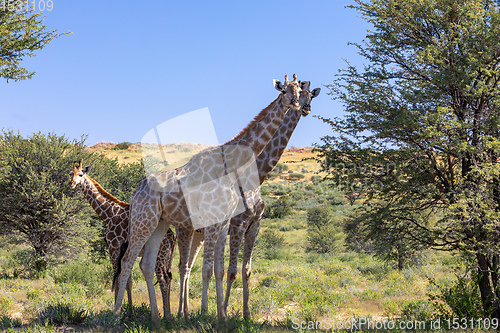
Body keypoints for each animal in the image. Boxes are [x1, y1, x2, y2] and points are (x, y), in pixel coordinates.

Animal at [69, 162, 176, 318]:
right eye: (71, 173)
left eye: (81, 174)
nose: (71, 184)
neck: (109, 214)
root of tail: (172, 237)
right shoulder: (122, 251)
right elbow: (128, 281)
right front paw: (129, 310)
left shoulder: (113, 247)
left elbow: (117, 279)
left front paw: (115, 311)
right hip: (167, 257)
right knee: (168, 278)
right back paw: (170, 314)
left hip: (159, 255)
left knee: (162, 279)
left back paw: (166, 315)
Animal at [112, 75, 302, 322]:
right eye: (284, 91)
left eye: (300, 90)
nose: (298, 104)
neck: (233, 163)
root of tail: (135, 193)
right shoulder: (216, 222)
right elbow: (207, 269)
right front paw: (204, 314)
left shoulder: (224, 223)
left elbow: (219, 270)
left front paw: (222, 316)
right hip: (143, 221)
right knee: (128, 261)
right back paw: (116, 315)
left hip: (159, 224)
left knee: (146, 264)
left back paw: (156, 317)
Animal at [184, 80, 320, 316]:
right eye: (298, 94)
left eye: (311, 95)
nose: (305, 108)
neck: (256, 177)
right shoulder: (238, 225)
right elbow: (231, 271)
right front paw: (225, 310)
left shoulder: (254, 226)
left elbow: (246, 271)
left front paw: (245, 314)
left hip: (200, 232)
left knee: (188, 267)